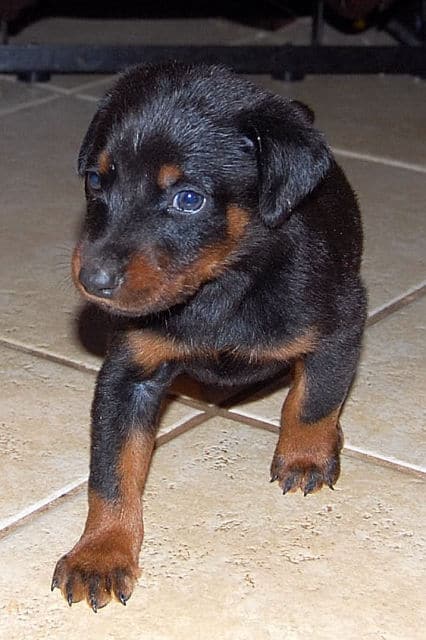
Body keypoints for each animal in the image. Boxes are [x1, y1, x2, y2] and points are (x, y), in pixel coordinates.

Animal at [52, 63, 366, 608]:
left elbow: (313, 398)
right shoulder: (129, 374)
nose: (93, 280)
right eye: (95, 180)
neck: (221, 284)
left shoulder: (342, 323)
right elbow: (112, 471)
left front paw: (305, 455)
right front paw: (101, 553)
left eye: (189, 199)